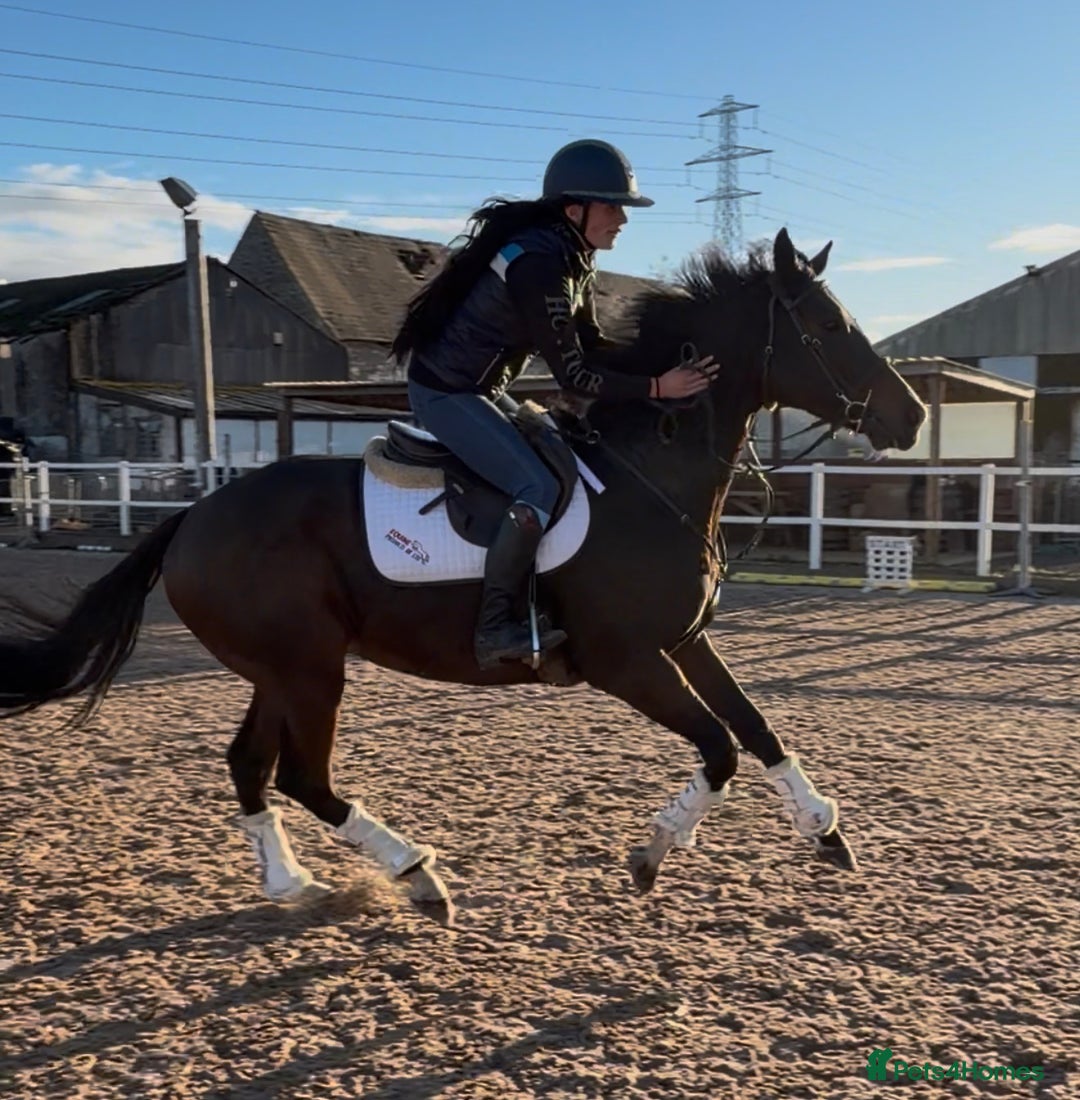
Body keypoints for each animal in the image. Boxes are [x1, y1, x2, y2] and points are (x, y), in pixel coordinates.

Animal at [0, 229, 925, 925]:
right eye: (828, 324)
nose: (911, 415)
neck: (650, 474)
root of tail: (193, 518)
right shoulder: (628, 662)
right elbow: (719, 748)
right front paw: (653, 851)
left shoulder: (685, 641)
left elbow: (757, 728)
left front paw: (822, 828)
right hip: (309, 670)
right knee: (304, 778)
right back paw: (416, 874)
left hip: (281, 669)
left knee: (250, 766)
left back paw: (291, 883)